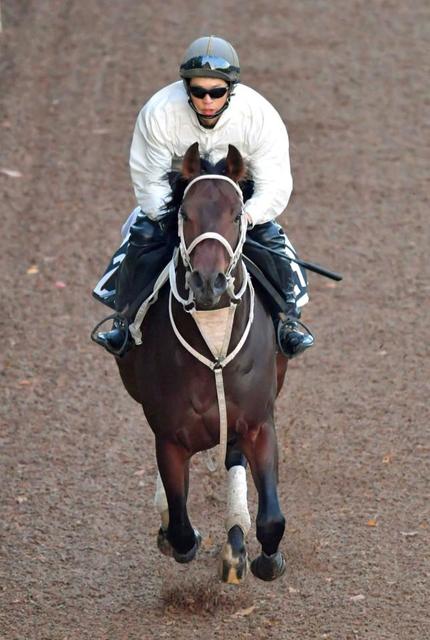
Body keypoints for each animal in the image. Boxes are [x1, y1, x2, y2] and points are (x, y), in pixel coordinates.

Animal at [116, 142, 288, 584]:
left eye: (236, 214)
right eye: (185, 213)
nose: (209, 284)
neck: (214, 352)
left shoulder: (258, 423)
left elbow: (272, 520)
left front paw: (265, 559)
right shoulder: (170, 436)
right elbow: (179, 524)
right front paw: (181, 537)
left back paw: (236, 544)